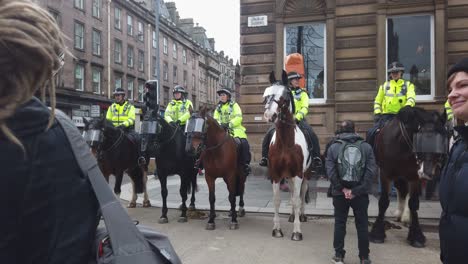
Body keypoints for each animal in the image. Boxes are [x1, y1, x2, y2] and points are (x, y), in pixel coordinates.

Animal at [262, 71, 312, 240]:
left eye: (284, 95)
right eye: (266, 95)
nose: (269, 115)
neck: (285, 142)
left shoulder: (298, 173)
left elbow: (297, 200)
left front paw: (297, 231)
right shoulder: (276, 174)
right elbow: (277, 200)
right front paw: (277, 229)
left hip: (305, 174)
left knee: (301, 194)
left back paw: (301, 215)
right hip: (288, 175)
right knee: (291, 193)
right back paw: (291, 216)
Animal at [368, 105, 448, 248]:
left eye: (442, 139)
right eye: (420, 139)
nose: (427, 173)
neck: (402, 145)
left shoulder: (414, 176)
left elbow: (414, 203)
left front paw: (416, 235)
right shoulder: (385, 173)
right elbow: (383, 201)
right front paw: (377, 233)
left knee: (405, 192)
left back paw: (405, 216)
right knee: (402, 190)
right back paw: (400, 214)